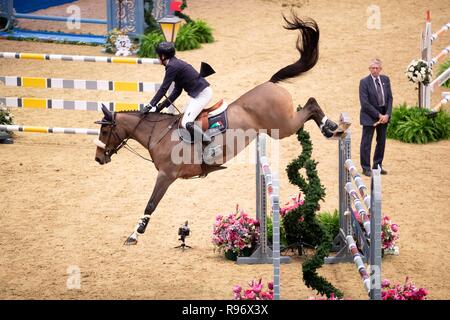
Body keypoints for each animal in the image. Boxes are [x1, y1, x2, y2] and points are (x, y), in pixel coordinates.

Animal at [93, 13, 350, 245]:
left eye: (104, 132)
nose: (98, 159)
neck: (158, 134)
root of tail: (270, 83)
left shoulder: (166, 175)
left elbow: (151, 203)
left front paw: (135, 234)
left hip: (282, 126)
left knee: (311, 104)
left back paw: (330, 127)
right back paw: (332, 128)